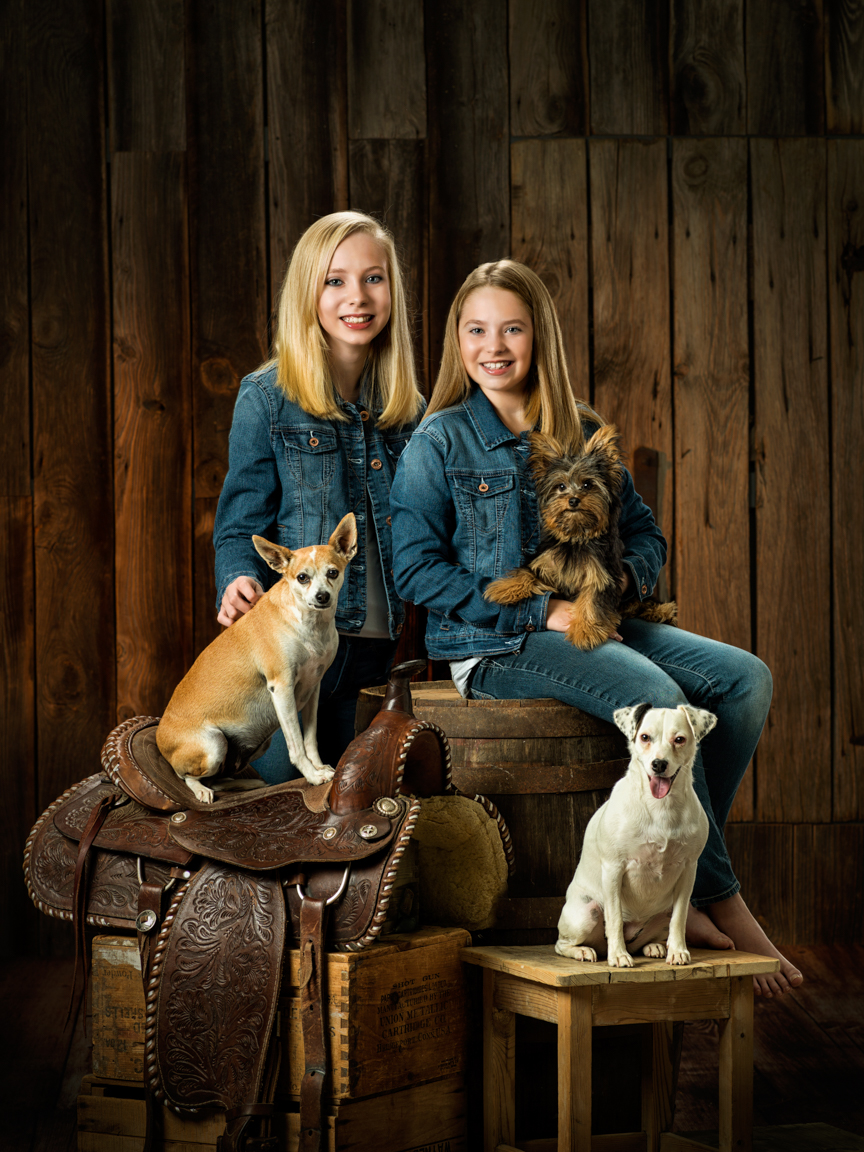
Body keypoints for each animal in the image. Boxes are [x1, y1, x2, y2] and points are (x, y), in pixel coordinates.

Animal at [156, 512, 358, 803]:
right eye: (302, 578)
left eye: (333, 572)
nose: (322, 596)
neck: (310, 625)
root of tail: (159, 738)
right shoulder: (282, 689)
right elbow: (297, 745)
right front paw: (311, 776)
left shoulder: (313, 690)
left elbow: (310, 739)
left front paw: (319, 767)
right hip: (213, 745)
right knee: (187, 776)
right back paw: (202, 791)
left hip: (254, 745)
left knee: (218, 779)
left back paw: (246, 784)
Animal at [484, 427, 677, 651]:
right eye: (560, 486)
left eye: (587, 485)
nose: (573, 500)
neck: (575, 538)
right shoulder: (544, 560)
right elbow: (528, 571)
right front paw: (504, 588)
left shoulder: (602, 575)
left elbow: (592, 600)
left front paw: (585, 630)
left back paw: (662, 611)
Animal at [555, 702, 716, 967]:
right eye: (645, 737)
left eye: (679, 739)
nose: (659, 764)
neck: (660, 808)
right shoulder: (613, 869)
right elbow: (615, 919)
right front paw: (619, 955)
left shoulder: (688, 870)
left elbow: (679, 918)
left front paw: (677, 951)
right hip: (585, 914)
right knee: (563, 944)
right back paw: (585, 951)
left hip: (662, 912)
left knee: (654, 934)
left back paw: (654, 946)